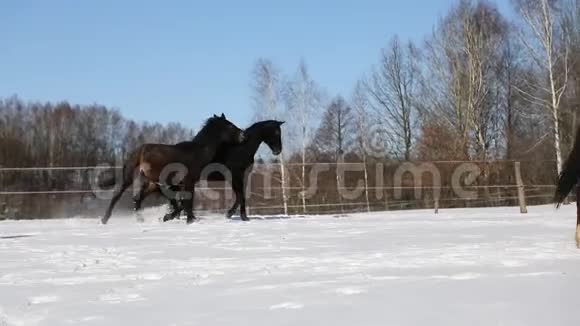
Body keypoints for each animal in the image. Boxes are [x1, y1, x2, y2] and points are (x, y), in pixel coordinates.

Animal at [99, 114, 245, 224]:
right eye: (229, 125)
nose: (243, 135)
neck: (197, 152)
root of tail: (140, 149)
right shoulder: (187, 181)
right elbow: (187, 201)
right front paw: (189, 220)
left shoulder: (181, 184)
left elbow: (183, 202)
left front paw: (174, 217)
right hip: (133, 178)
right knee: (118, 195)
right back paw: (105, 219)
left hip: (151, 183)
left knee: (137, 199)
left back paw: (140, 220)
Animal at [138, 119, 284, 222]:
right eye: (276, 132)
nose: (278, 151)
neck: (241, 148)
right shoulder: (235, 176)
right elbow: (240, 196)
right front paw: (237, 215)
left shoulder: (241, 177)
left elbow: (241, 196)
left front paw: (238, 216)